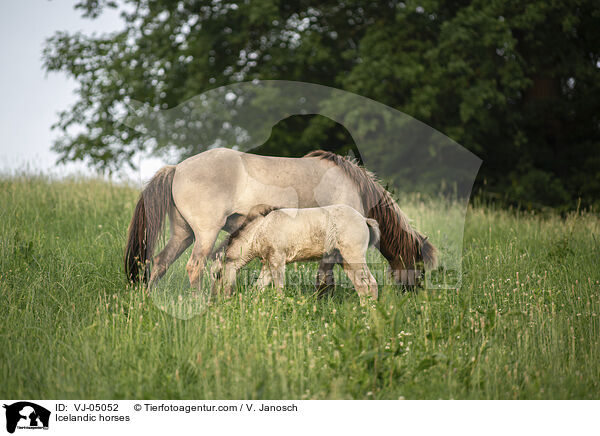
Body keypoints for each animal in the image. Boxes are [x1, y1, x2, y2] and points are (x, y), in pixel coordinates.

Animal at [125, 146, 436, 292]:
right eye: (419, 265)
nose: (414, 294)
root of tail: (177, 168)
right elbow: (325, 278)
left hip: (183, 234)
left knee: (159, 264)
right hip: (204, 234)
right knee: (194, 267)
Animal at [211, 204, 380, 304]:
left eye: (218, 274)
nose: (217, 299)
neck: (260, 229)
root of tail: (363, 218)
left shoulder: (277, 261)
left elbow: (279, 289)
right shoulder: (267, 264)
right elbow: (258, 288)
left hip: (354, 256)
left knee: (371, 283)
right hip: (344, 260)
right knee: (361, 286)